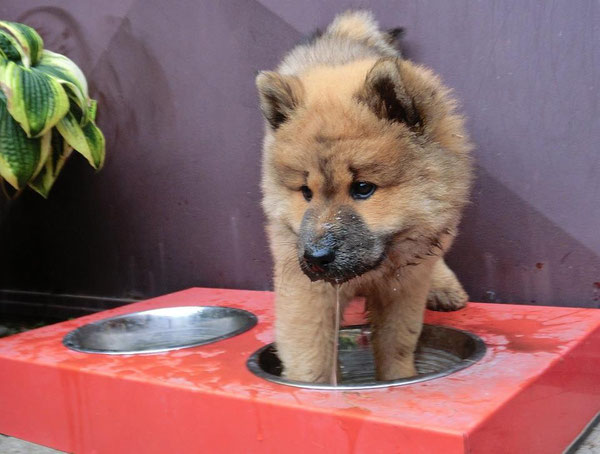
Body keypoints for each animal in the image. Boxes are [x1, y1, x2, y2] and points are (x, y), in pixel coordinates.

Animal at [255, 9, 472, 384]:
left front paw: (398, 380)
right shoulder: (305, 287)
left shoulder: (405, 286)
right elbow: (311, 357)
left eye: (362, 188)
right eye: (306, 192)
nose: (316, 257)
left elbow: (397, 344)